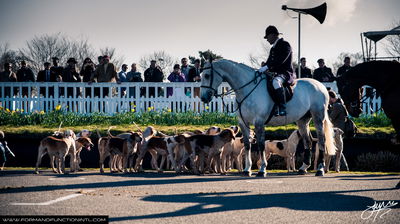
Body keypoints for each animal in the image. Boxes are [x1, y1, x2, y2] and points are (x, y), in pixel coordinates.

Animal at [199, 59, 334, 177]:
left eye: (207, 75)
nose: (203, 98)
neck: (247, 89)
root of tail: (321, 85)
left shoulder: (259, 122)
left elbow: (260, 145)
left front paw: (262, 170)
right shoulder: (243, 123)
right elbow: (247, 145)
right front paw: (247, 170)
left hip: (318, 118)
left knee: (322, 140)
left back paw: (320, 169)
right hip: (302, 121)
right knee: (308, 141)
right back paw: (303, 168)